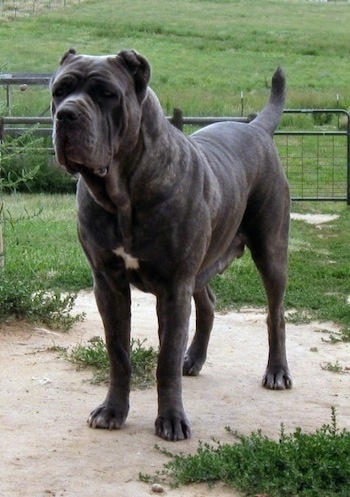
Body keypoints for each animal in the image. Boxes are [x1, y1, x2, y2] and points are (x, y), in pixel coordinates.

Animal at [50, 48, 292, 440]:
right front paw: (112, 411)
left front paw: (172, 420)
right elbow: (118, 351)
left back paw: (277, 372)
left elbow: (165, 358)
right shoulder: (108, 283)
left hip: (270, 251)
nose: (66, 114)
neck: (122, 194)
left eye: (106, 94)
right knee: (208, 304)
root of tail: (255, 126)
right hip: (202, 266)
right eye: (59, 91)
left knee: (276, 314)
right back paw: (192, 359)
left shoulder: (174, 286)